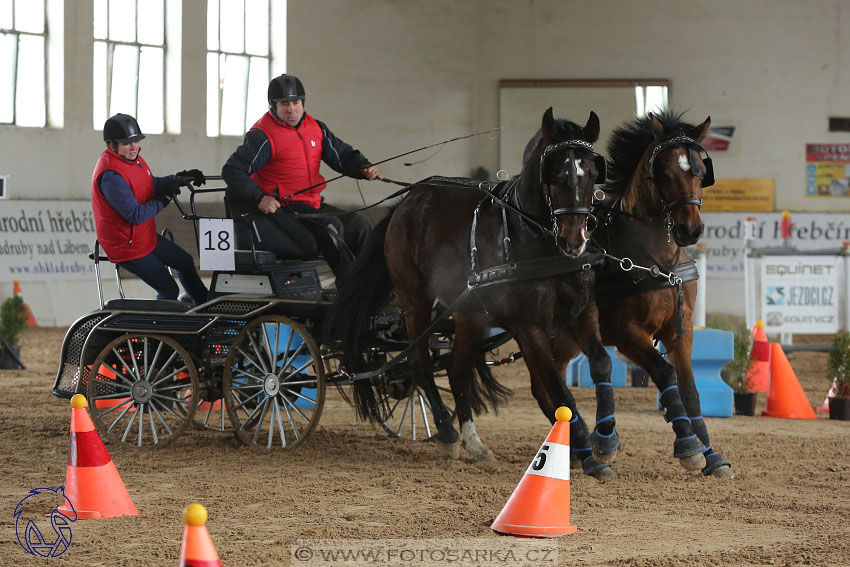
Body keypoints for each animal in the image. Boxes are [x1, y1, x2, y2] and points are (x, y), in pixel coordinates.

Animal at [332, 107, 616, 480]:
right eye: (553, 173)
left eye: (594, 174)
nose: (574, 241)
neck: (535, 239)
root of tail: (406, 203)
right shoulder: (530, 328)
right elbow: (558, 390)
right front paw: (587, 453)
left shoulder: (583, 313)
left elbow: (601, 363)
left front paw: (606, 440)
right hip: (415, 301)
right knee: (422, 364)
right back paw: (447, 432)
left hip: (469, 316)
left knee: (456, 371)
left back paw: (474, 443)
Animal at [552, 110, 732, 480]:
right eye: (663, 173)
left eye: (700, 171)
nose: (690, 229)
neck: (657, 261)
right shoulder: (628, 334)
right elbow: (664, 374)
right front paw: (687, 446)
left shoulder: (681, 332)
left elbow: (690, 389)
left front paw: (711, 454)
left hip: (568, 337)